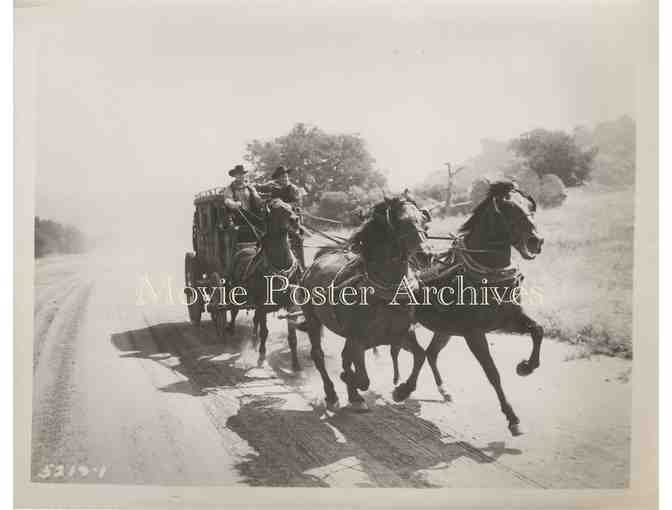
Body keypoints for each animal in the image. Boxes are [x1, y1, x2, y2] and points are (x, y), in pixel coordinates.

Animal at [227, 197, 304, 368]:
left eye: (291, 208)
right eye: (278, 209)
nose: (295, 220)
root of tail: (242, 250)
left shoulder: (291, 305)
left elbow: (292, 335)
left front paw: (295, 363)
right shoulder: (262, 305)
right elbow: (265, 332)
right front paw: (261, 356)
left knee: (255, 320)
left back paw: (253, 340)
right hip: (236, 293)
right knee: (234, 311)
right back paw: (231, 330)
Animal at [298, 197, 430, 412]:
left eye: (424, 223)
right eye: (402, 222)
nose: (427, 255)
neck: (387, 295)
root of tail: (315, 263)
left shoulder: (401, 334)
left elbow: (420, 355)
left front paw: (402, 391)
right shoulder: (358, 340)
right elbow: (362, 378)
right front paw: (347, 379)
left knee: (345, 357)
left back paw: (353, 396)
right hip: (312, 319)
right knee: (318, 355)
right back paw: (332, 394)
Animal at [392, 181, 544, 436]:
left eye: (530, 205)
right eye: (509, 208)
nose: (536, 240)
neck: (487, 274)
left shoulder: (508, 319)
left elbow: (538, 330)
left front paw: (526, 367)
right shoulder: (474, 333)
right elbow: (493, 373)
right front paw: (512, 418)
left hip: (445, 329)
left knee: (430, 353)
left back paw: (442, 390)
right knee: (414, 351)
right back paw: (401, 388)